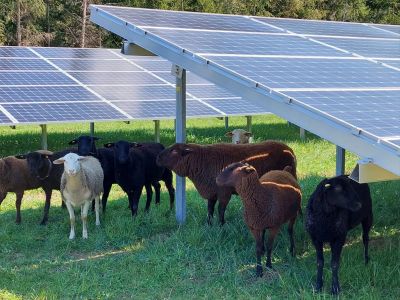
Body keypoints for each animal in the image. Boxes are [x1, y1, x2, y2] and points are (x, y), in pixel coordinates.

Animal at [156, 141, 296, 225]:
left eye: (174, 151)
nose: (158, 157)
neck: (201, 161)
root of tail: (289, 149)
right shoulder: (212, 191)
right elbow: (210, 208)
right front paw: (209, 224)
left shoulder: (224, 192)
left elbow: (220, 209)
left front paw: (221, 224)